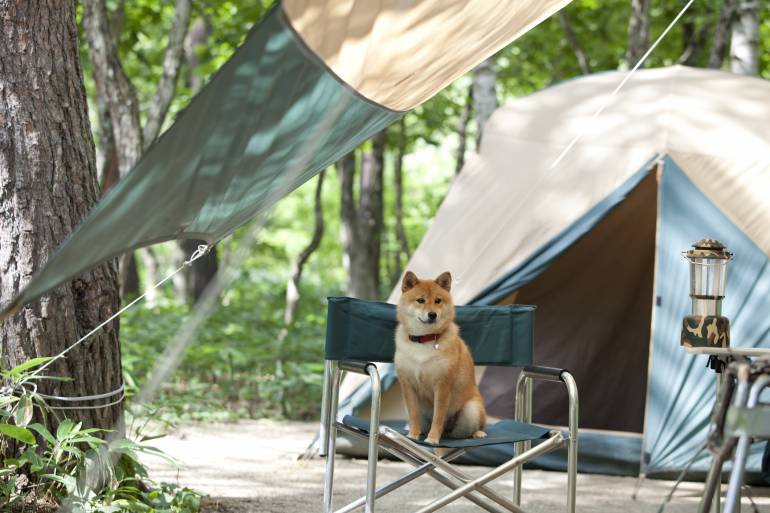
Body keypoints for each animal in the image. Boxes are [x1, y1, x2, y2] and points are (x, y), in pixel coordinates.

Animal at [392, 270, 484, 442]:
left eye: (438, 301)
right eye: (420, 300)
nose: (432, 314)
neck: (424, 340)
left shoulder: (442, 385)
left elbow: (438, 416)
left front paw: (433, 438)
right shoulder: (408, 384)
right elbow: (413, 415)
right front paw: (413, 434)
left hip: (471, 410)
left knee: (467, 431)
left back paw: (478, 433)